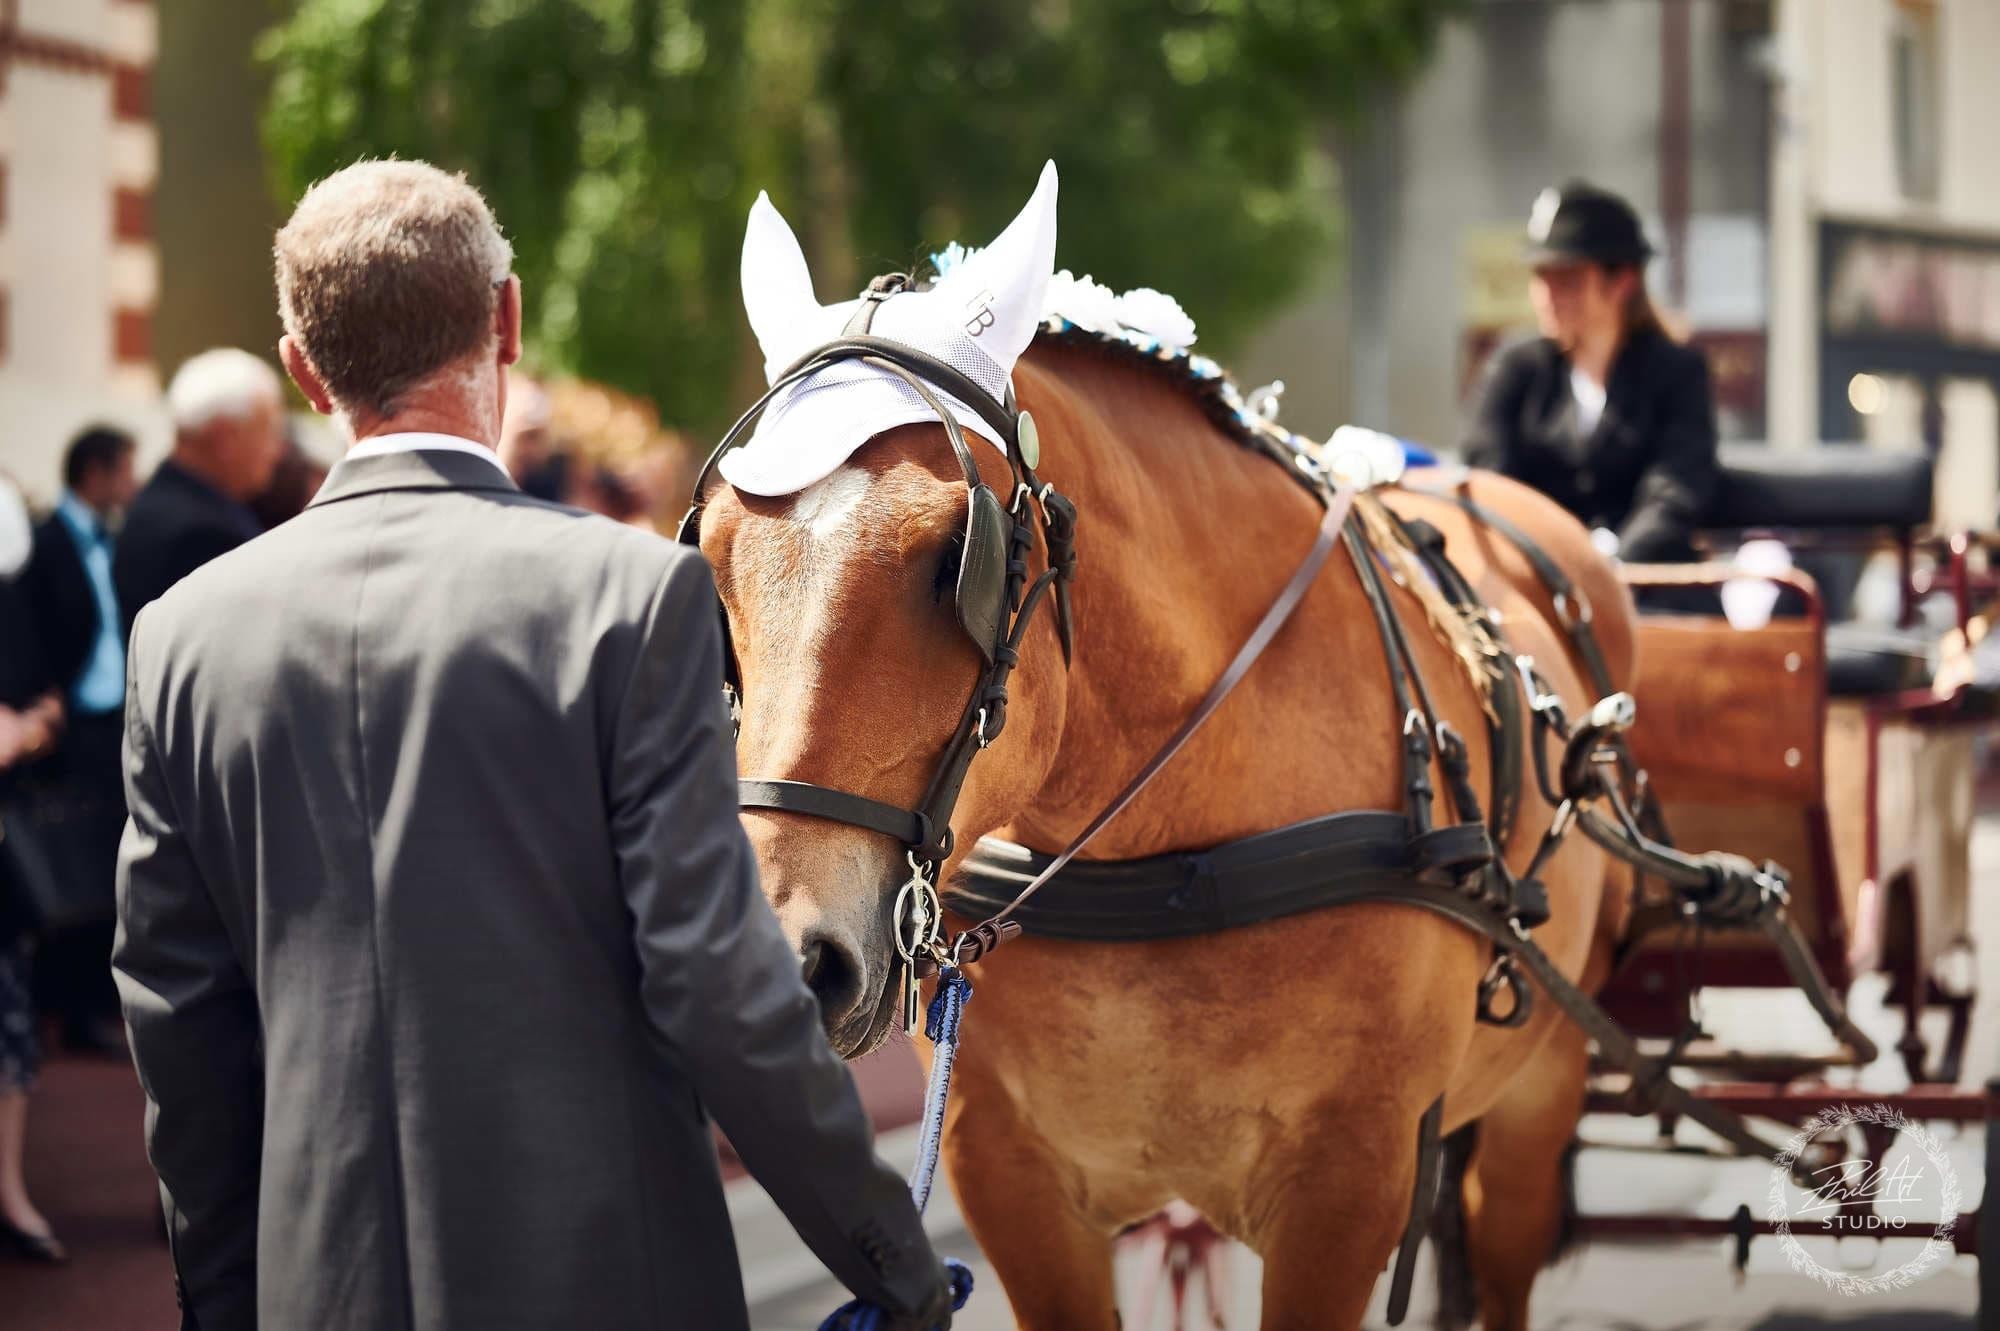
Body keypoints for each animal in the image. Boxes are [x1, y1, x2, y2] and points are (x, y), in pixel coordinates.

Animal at [704, 181, 1640, 1319]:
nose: (789, 961)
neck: (1166, 845)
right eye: (713, 551)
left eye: (953, 557)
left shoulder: (1346, 1188)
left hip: (1537, 1093)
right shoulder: (1008, 1179)